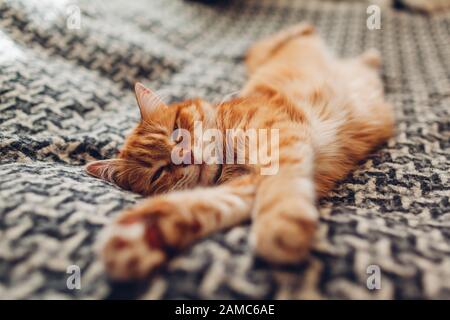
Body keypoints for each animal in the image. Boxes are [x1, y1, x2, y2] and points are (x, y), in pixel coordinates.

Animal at [85, 23, 394, 280]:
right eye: (158, 173)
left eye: (176, 131)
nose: (186, 158)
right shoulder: (246, 184)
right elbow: (206, 204)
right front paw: (145, 233)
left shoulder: (276, 136)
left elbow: (281, 183)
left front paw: (281, 221)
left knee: (307, 33)